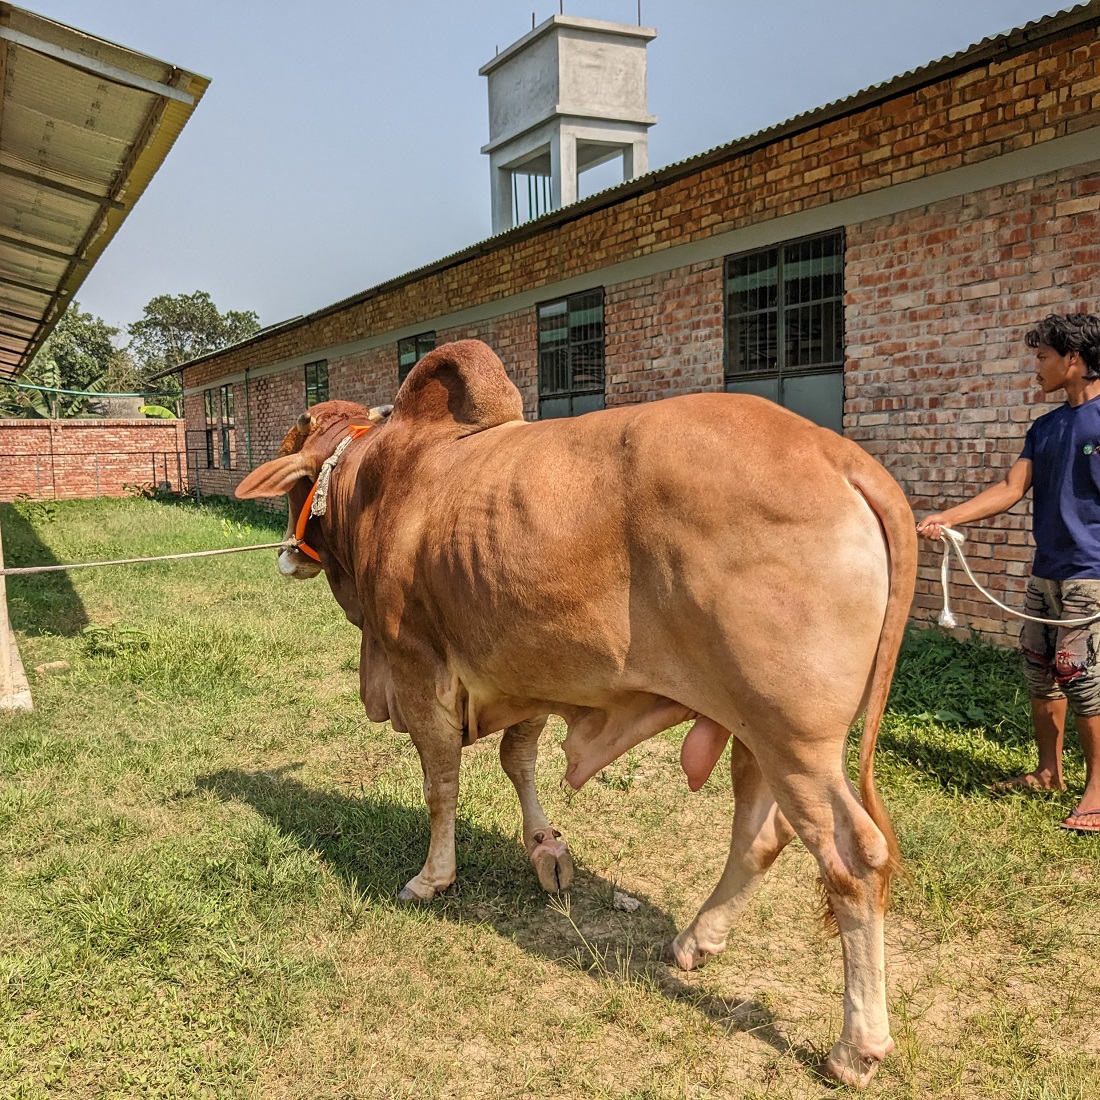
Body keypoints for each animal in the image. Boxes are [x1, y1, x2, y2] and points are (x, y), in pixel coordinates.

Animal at [238, 338, 919, 1086]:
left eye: (296, 475)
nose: (287, 555)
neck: (379, 484)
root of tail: (840, 456)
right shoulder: (526, 673)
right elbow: (518, 759)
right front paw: (546, 847)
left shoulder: (419, 668)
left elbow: (441, 785)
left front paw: (432, 877)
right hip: (755, 733)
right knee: (760, 836)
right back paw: (694, 940)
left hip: (795, 738)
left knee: (854, 860)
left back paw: (856, 1045)